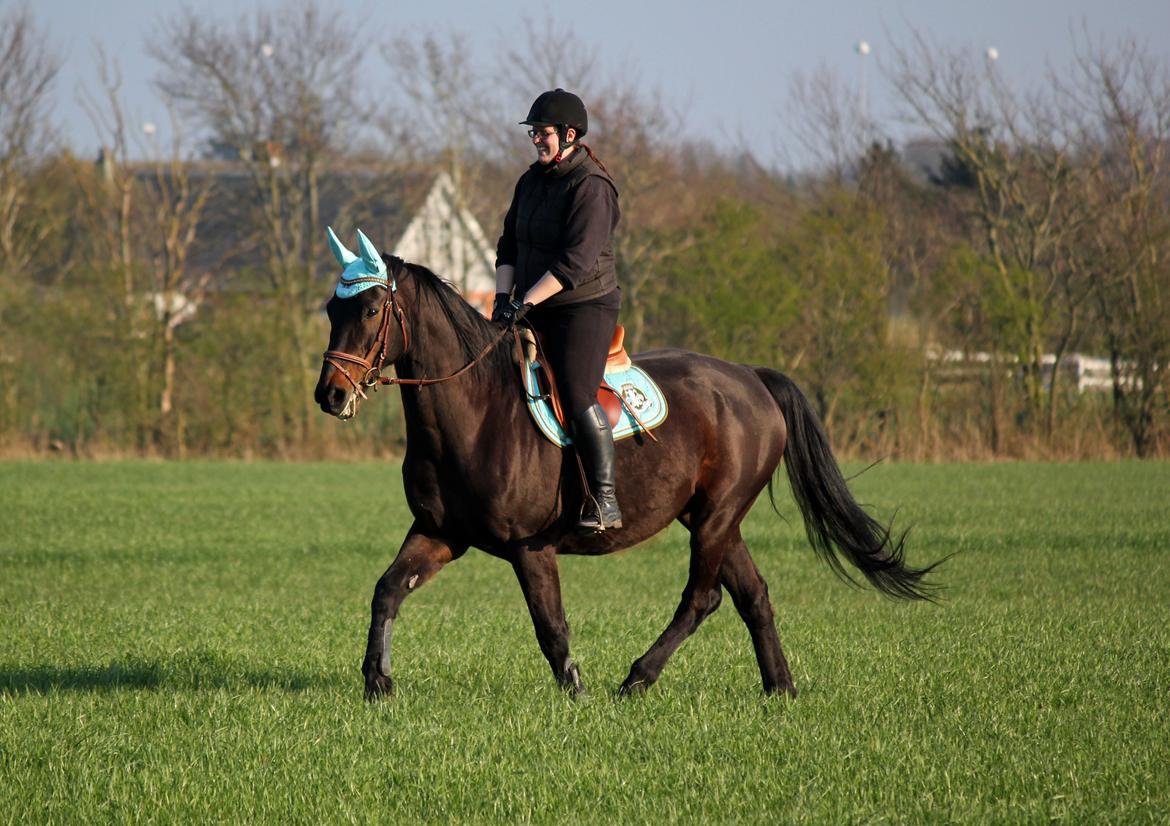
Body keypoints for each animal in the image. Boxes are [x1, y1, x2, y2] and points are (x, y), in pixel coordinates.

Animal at [313, 245, 940, 701]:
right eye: (331, 310)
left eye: (371, 310)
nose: (330, 394)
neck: (477, 411)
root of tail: (751, 377)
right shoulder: (441, 533)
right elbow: (387, 590)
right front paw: (377, 681)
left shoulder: (528, 547)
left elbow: (550, 627)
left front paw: (576, 695)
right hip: (712, 517)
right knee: (752, 595)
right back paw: (779, 689)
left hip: (716, 517)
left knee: (702, 598)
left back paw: (637, 677)